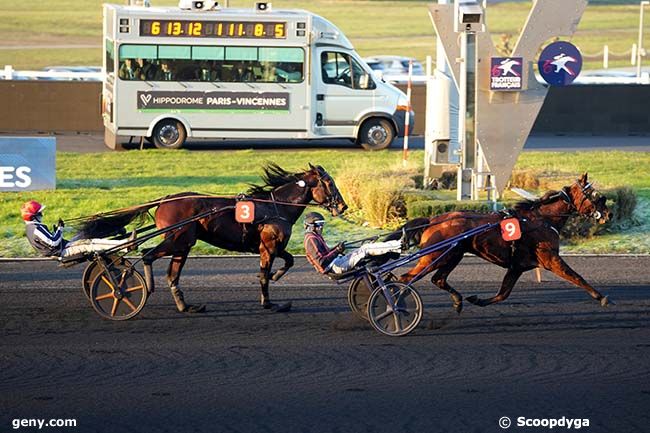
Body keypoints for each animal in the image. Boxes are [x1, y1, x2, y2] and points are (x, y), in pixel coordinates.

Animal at [76, 164, 346, 312]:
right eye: (330, 183)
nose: (342, 206)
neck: (274, 207)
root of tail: (165, 200)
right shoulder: (268, 247)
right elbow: (265, 275)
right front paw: (270, 301)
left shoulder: (274, 247)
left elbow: (288, 261)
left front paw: (275, 277)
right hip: (179, 239)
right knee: (147, 255)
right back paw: (131, 287)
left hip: (183, 245)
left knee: (172, 274)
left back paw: (186, 307)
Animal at [390, 173, 612, 314]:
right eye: (595, 195)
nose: (609, 214)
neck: (542, 219)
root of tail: (432, 220)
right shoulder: (550, 259)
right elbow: (576, 276)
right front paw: (602, 297)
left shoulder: (517, 266)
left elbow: (503, 294)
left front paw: (477, 300)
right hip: (434, 256)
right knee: (404, 278)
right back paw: (396, 304)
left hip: (453, 255)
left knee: (438, 279)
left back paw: (458, 301)